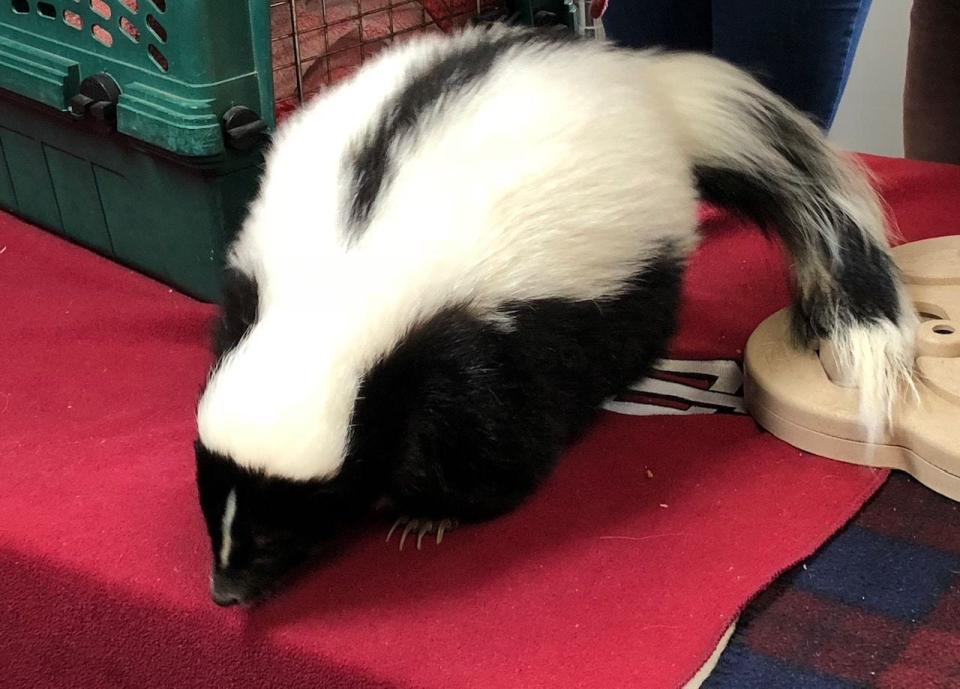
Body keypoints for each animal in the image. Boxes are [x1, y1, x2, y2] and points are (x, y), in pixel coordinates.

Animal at [193, 24, 916, 604]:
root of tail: (645, 87)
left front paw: (429, 515)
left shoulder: (475, 347)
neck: (333, 297)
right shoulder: (251, 301)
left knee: (641, 318)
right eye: (211, 508)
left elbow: (492, 439)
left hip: (635, 261)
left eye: (280, 528)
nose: (226, 591)